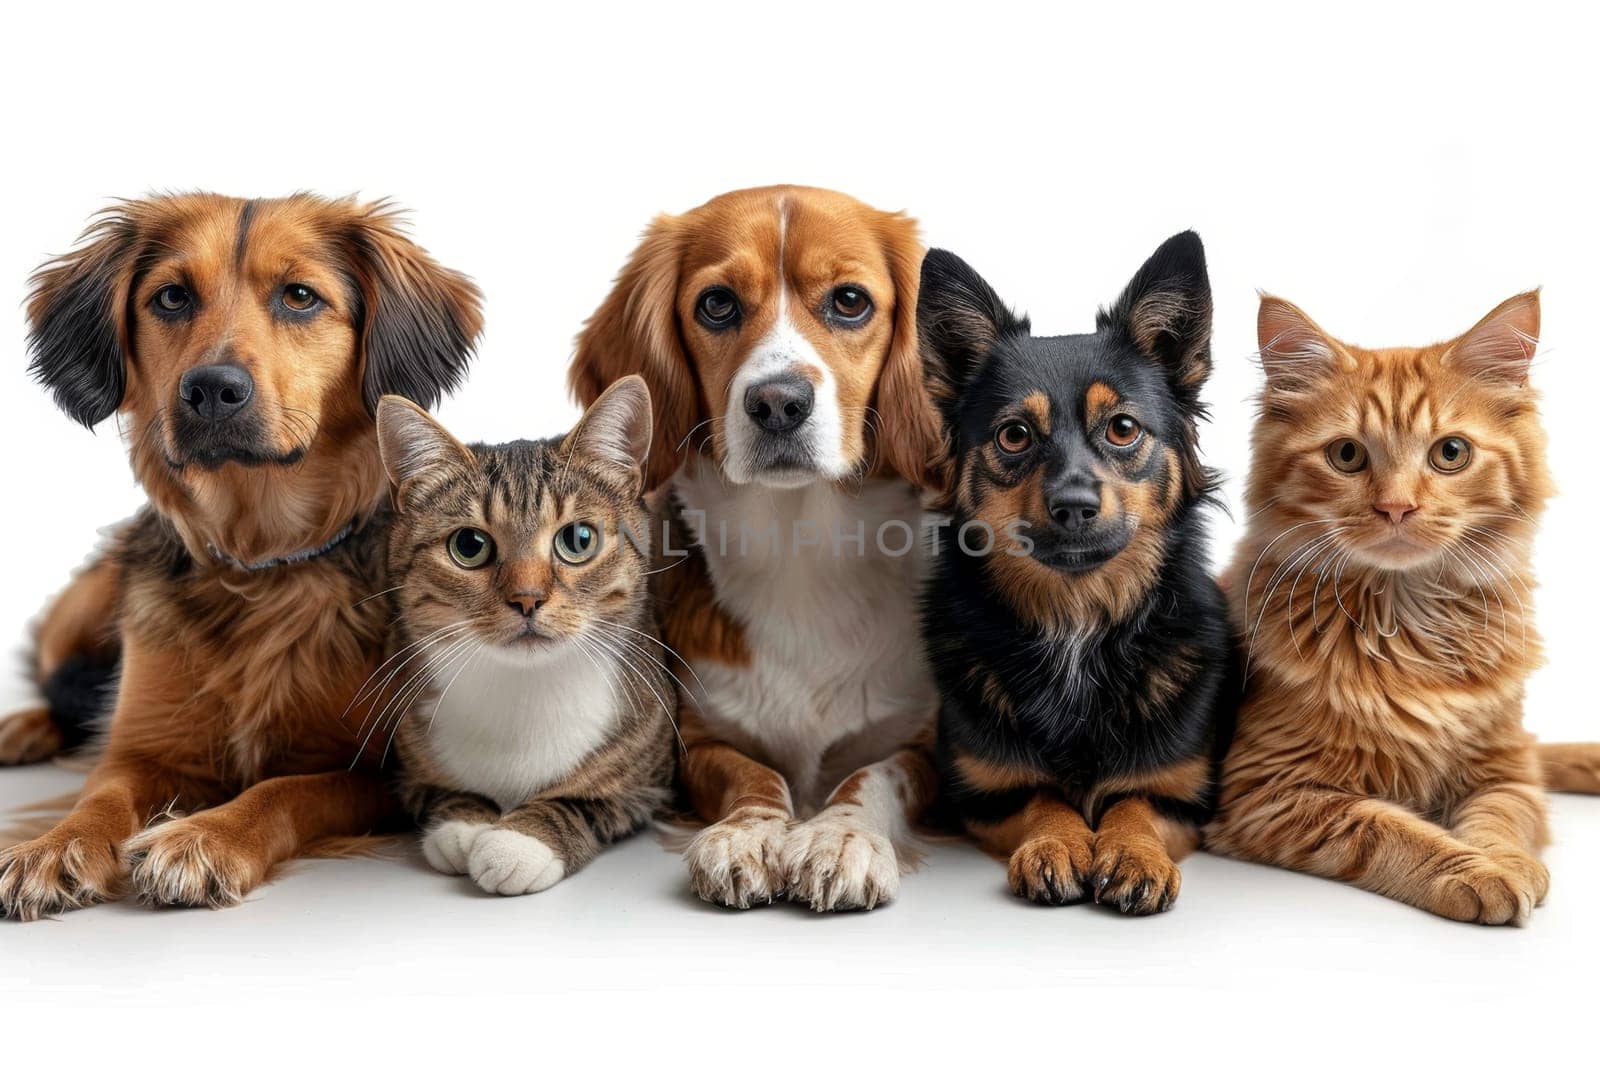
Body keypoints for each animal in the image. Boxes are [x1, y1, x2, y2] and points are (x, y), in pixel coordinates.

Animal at [0, 189, 480, 921]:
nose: (211, 389)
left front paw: (205, 837)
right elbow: (102, 792)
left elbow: (284, 790)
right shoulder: (143, 744)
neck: (262, 561)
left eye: (300, 297)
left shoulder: (379, 772)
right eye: (171, 297)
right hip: (87, 602)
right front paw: (54, 845)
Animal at [372, 379, 675, 895]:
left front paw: (517, 843)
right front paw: (464, 826)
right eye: (469, 546)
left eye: (578, 539)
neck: (524, 691)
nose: (527, 598)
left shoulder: (648, 781)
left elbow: (582, 802)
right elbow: (445, 792)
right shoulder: (411, 766)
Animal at [915, 235, 1235, 921]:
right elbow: (1045, 796)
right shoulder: (981, 794)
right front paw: (1057, 844)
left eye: (1122, 428)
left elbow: (1133, 800)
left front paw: (1133, 853)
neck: (1078, 622)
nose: (1074, 505)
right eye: (1014, 435)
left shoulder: (1185, 795)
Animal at [1203, 292, 1568, 927]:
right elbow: (1390, 830)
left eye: (1451, 453)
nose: (1396, 507)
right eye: (1347, 454)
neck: (1408, 620)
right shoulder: (1267, 788)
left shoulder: (1508, 768)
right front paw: (1475, 874)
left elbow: (1502, 819)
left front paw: (1509, 865)